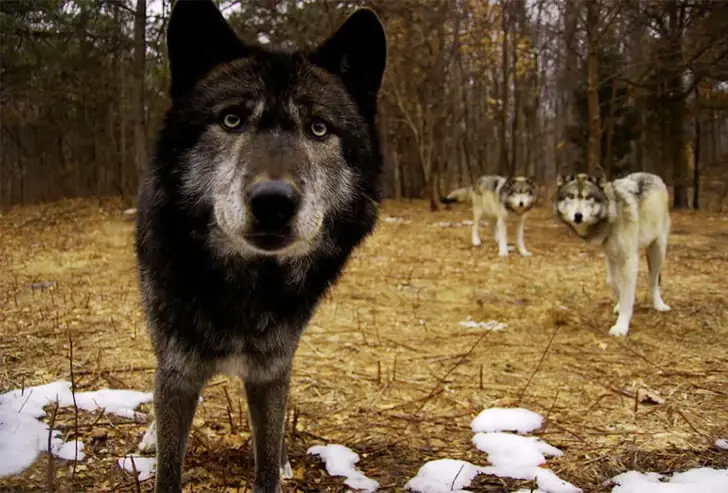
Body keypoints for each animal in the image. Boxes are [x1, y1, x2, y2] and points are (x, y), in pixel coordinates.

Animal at [134, 2, 387, 492]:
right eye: (231, 120)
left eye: (319, 129)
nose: (274, 201)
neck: (244, 288)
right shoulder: (177, 371)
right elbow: (170, 467)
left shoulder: (271, 370)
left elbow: (267, 458)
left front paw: (279, 463)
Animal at [553, 172, 672, 337]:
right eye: (571, 196)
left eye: (588, 197)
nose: (578, 216)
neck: (612, 215)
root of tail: (654, 176)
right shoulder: (610, 255)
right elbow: (614, 283)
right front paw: (620, 304)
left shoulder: (630, 259)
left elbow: (628, 294)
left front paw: (621, 326)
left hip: (658, 251)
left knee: (654, 279)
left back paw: (659, 305)